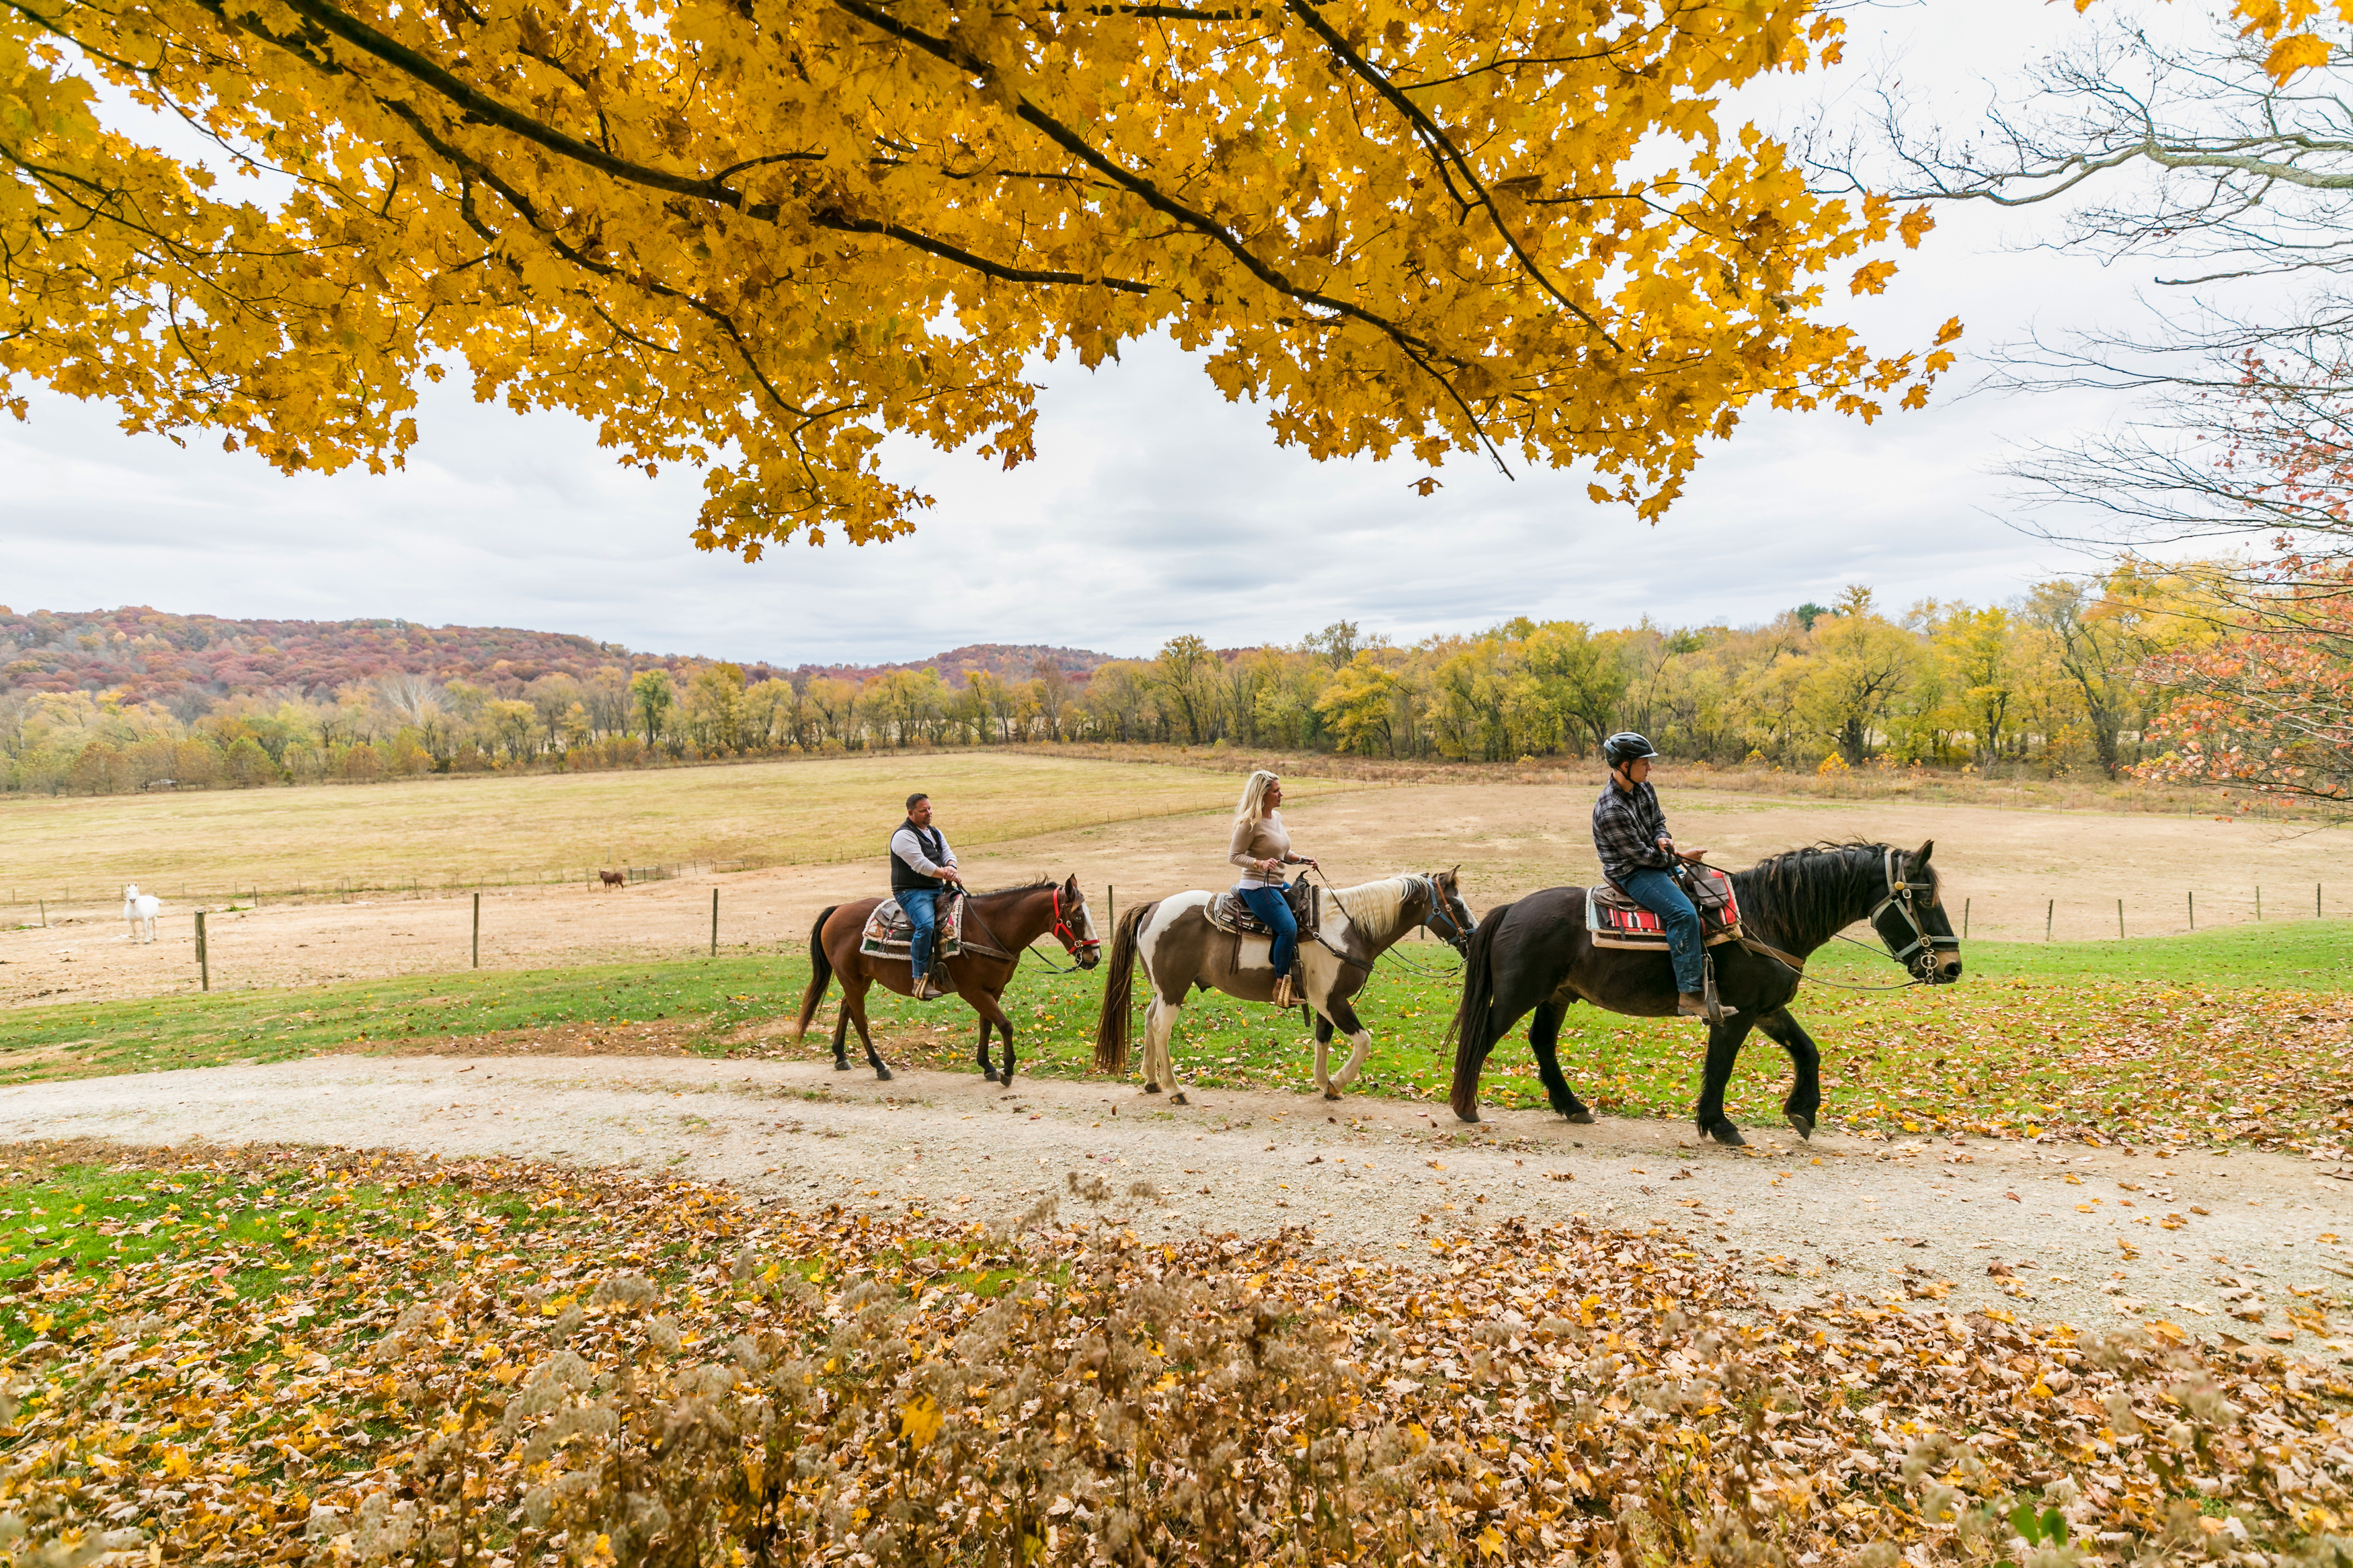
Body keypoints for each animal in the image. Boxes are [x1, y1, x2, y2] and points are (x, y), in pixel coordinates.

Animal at [791, 879, 1101, 1085]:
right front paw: (1007, 1071)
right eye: (1077, 916)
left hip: (860, 980)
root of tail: (838, 909)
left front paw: (987, 1066)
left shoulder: (993, 989)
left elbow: (987, 1024)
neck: (988, 929)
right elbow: (1005, 1025)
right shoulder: (972, 991)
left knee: (846, 1009)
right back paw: (879, 1066)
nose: (1094, 956)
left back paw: (840, 1057)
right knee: (860, 1020)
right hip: (852, 980)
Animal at [1440, 846, 1958, 1142]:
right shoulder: (1738, 1013)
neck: (1764, 917)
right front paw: (1719, 1123)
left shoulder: (1768, 1009)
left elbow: (1806, 1050)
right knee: (1481, 1037)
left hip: (1557, 995)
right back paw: (1465, 1107)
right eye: (1922, 896)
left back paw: (1573, 1107)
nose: (1952, 966)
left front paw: (1803, 1111)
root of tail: (1512, 908)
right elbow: (1721, 1065)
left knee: (1542, 1042)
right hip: (1518, 994)